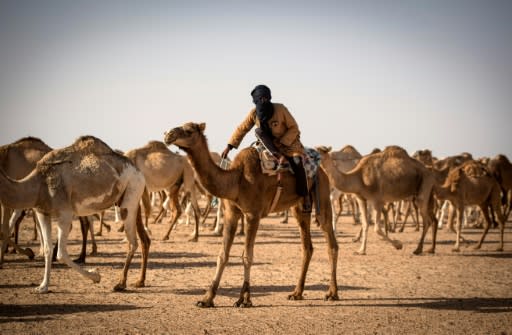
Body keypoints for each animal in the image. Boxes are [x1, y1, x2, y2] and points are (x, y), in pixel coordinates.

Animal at [0, 135, 150, 292]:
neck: (39, 182)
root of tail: (139, 171)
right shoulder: (42, 212)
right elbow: (47, 249)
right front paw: (42, 286)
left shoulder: (65, 213)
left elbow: (61, 253)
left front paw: (96, 276)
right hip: (128, 198)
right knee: (144, 239)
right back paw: (140, 281)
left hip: (131, 194)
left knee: (132, 242)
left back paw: (121, 283)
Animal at [164, 122, 340, 308]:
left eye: (189, 130)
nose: (168, 134)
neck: (236, 179)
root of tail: (321, 170)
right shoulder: (231, 213)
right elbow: (222, 255)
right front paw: (206, 299)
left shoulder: (252, 215)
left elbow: (247, 256)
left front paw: (244, 299)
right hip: (300, 207)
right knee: (307, 247)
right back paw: (296, 293)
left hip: (322, 193)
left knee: (331, 242)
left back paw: (332, 293)